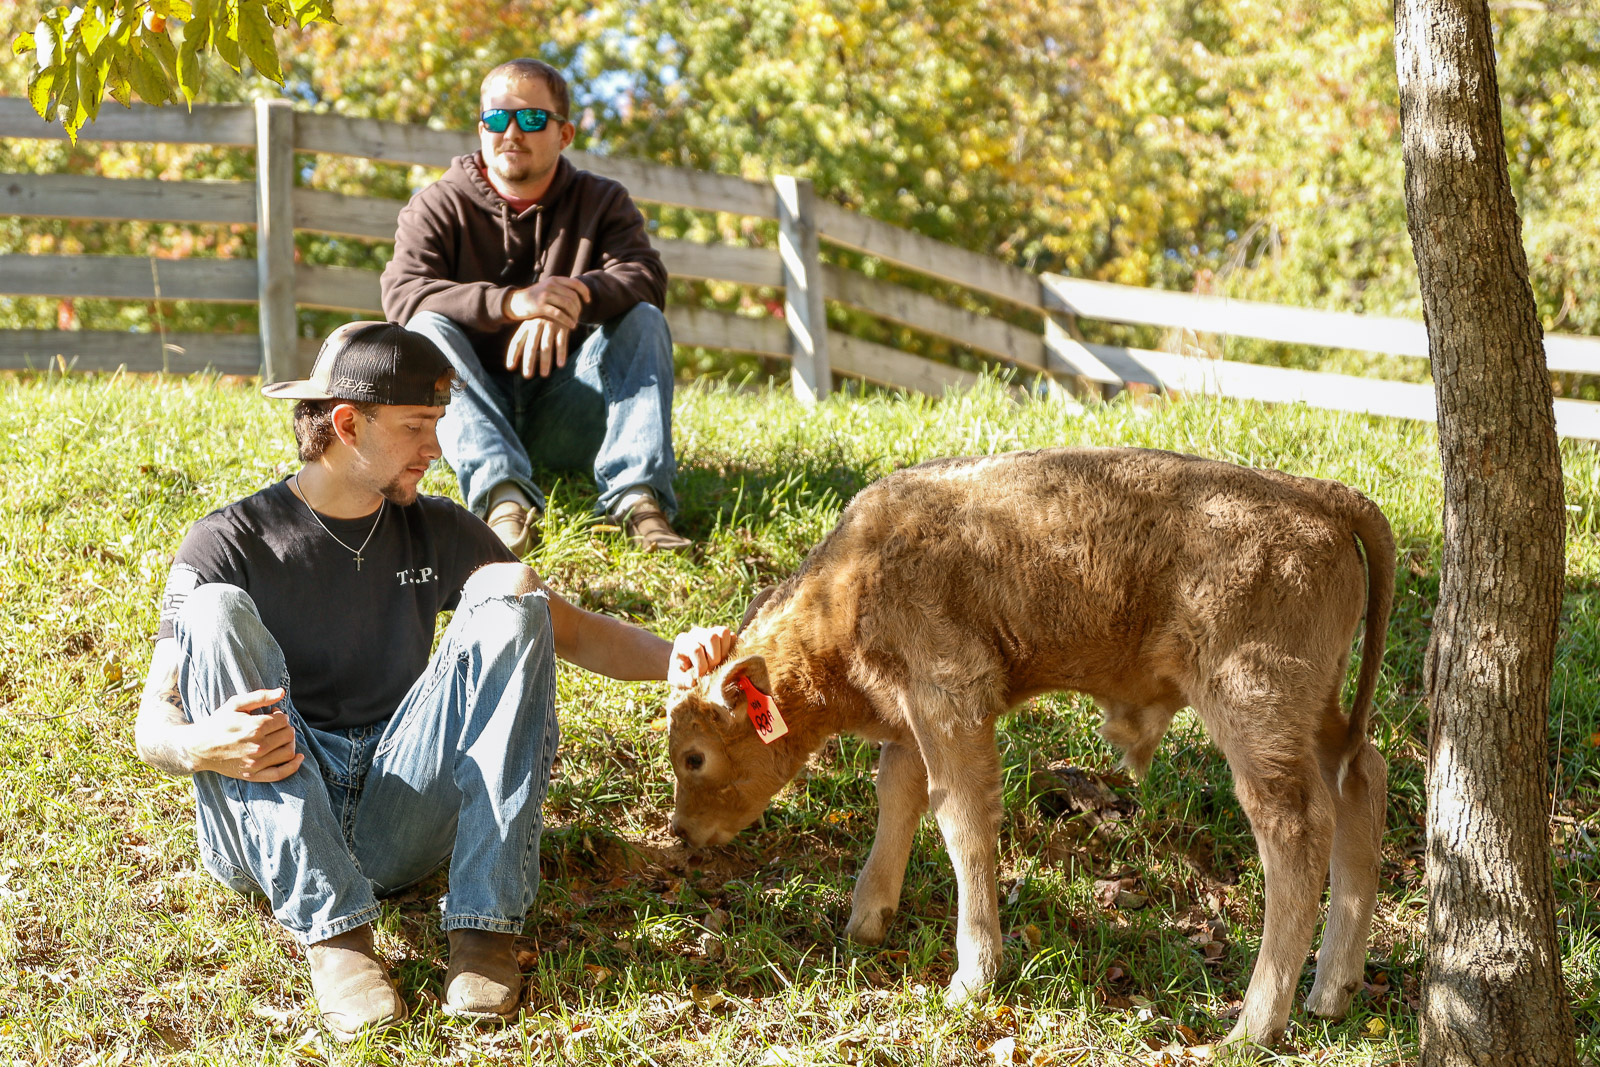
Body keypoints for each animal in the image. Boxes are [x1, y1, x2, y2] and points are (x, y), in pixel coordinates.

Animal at [662, 447, 1388, 1049]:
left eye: (695, 755)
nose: (681, 832)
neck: (848, 585)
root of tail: (1318, 494)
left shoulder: (949, 699)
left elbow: (961, 820)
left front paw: (972, 977)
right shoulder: (911, 716)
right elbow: (898, 796)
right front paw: (867, 920)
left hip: (1254, 706)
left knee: (1295, 829)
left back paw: (1253, 1027)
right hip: (1316, 712)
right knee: (1362, 781)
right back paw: (1332, 991)